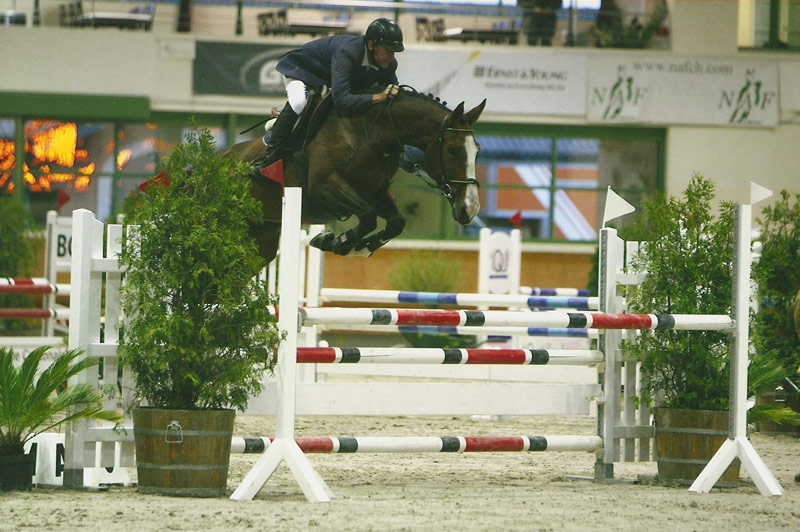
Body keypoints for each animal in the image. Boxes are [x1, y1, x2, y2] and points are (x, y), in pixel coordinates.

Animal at [218, 87, 486, 263]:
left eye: (477, 150)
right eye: (452, 149)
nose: (470, 209)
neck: (371, 134)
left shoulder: (377, 192)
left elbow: (396, 222)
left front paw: (359, 245)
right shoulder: (324, 187)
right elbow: (367, 216)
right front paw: (336, 241)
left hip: (261, 239)